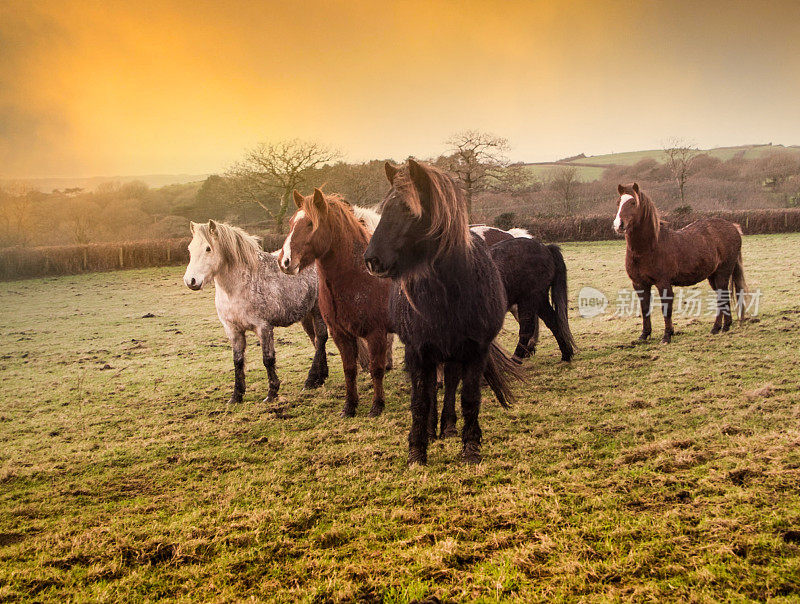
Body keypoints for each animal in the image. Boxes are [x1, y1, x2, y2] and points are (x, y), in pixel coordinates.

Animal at [184, 219, 328, 404]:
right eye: (190, 249)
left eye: (208, 248)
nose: (191, 281)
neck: (240, 286)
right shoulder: (233, 330)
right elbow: (237, 361)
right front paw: (236, 396)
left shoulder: (263, 327)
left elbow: (268, 359)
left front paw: (272, 393)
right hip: (307, 315)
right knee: (316, 340)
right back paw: (320, 378)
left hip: (317, 310)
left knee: (321, 338)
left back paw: (310, 381)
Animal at [278, 191, 394, 418]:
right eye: (291, 222)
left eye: (311, 223)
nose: (285, 261)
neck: (359, 277)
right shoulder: (341, 334)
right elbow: (349, 370)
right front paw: (350, 406)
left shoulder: (376, 333)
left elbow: (376, 368)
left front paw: (377, 406)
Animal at [366, 158, 520, 464]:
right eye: (385, 208)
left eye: (408, 209)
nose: (371, 260)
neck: (449, 295)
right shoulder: (417, 350)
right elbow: (420, 399)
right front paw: (417, 449)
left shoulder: (475, 350)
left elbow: (469, 397)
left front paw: (470, 446)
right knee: (431, 388)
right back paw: (431, 428)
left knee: (449, 383)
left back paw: (447, 426)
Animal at [612, 183, 752, 344]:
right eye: (618, 203)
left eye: (633, 202)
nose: (618, 225)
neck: (648, 248)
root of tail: (733, 227)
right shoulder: (639, 284)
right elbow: (645, 308)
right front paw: (644, 335)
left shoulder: (663, 283)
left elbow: (666, 309)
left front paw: (667, 336)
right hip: (713, 276)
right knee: (723, 297)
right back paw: (722, 327)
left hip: (723, 272)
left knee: (722, 297)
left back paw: (717, 328)